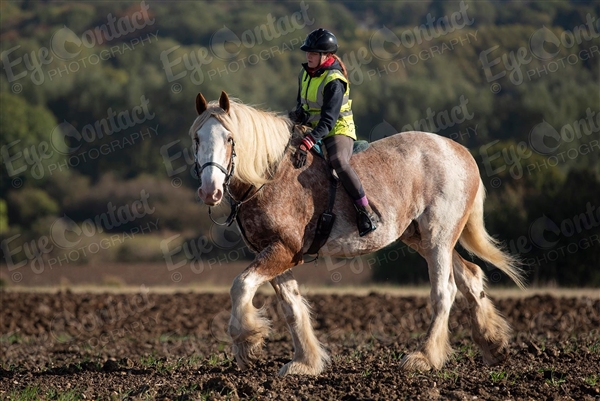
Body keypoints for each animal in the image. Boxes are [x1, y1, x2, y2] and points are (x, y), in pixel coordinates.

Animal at [190, 90, 524, 376]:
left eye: (230, 138)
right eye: (196, 138)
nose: (209, 191)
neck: (270, 175)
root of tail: (460, 151)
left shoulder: (282, 251)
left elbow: (241, 285)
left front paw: (247, 342)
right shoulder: (277, 253)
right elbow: (292, 307)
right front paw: (305, 363)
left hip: (438, 237)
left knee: (444, 292)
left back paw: (425, 357)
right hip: (423, 238)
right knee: (471, 276)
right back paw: (493, 345)